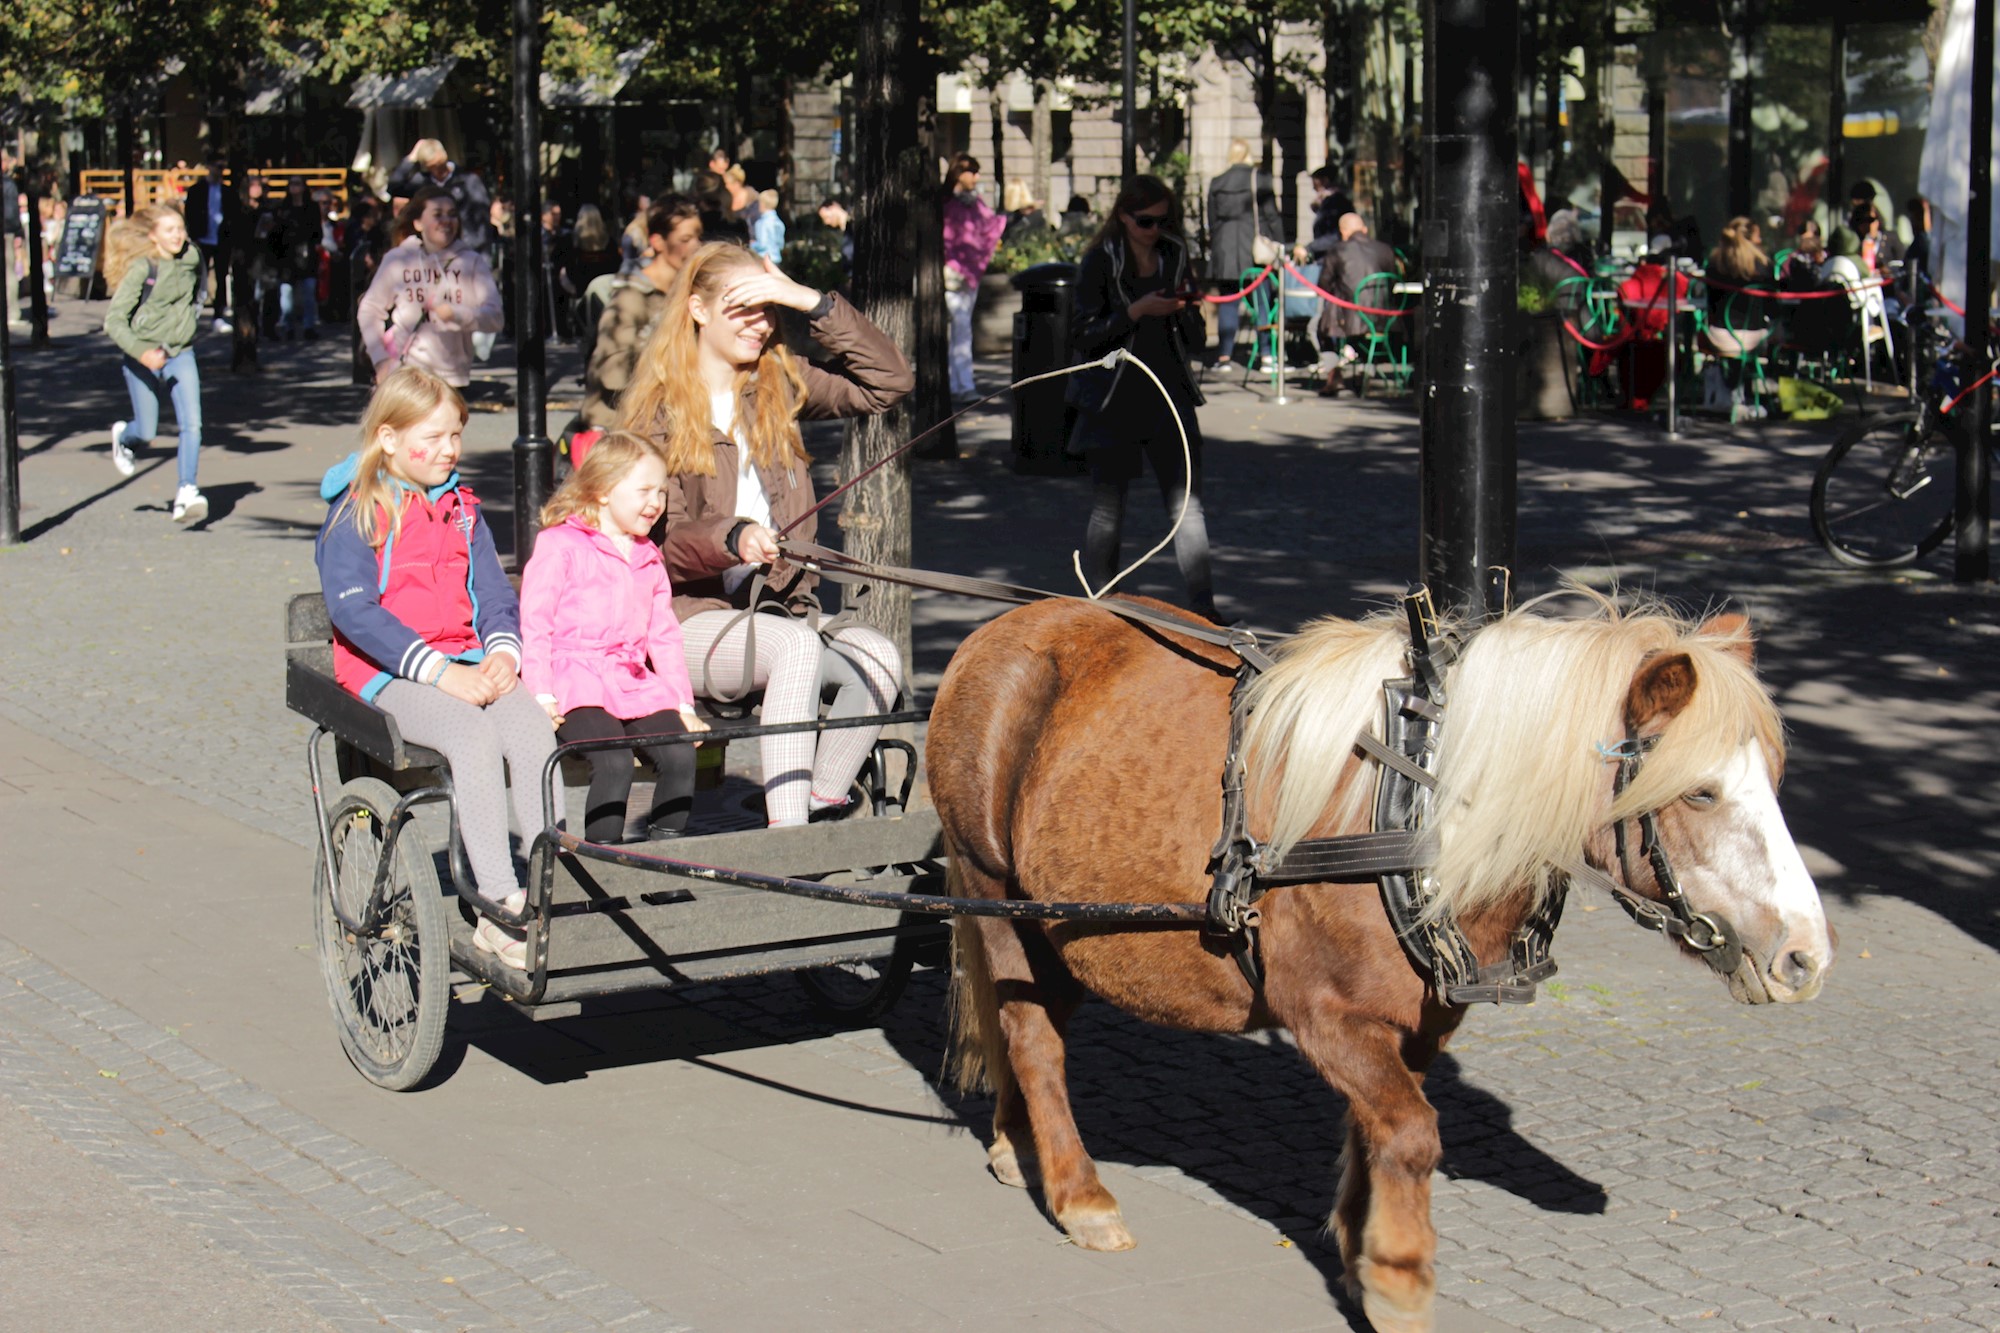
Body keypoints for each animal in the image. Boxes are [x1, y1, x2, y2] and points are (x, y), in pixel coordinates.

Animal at [928, 592, 1832, 1328]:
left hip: (1056, 923)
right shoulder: (1327, 1015)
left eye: (1774, 777)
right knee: (1034, 1038)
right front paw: (1400, 1280)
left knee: (1026, 1017)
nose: (1805, 956)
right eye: (1700, 791)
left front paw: (1362, 1253)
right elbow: (1409, 1132)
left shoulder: (1418, 1019)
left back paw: (1015, 1141)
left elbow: (1378, 1127)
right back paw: (1079, 1192)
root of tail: (994, 633)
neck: (1419, 811)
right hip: (992, 883)